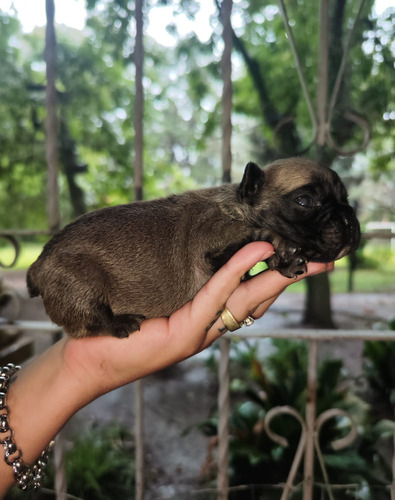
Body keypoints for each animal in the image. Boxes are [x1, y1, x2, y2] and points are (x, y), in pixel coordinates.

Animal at [26, 157, 362, 340]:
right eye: (305, 201)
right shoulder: (213, 249)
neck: (239, 208)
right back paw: (119, 323)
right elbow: (261, 235)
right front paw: (283, 248)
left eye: (347, 199)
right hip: (80, 282)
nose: (348, 218)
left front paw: (285, 259)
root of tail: (36, 267)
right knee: (88, 320)